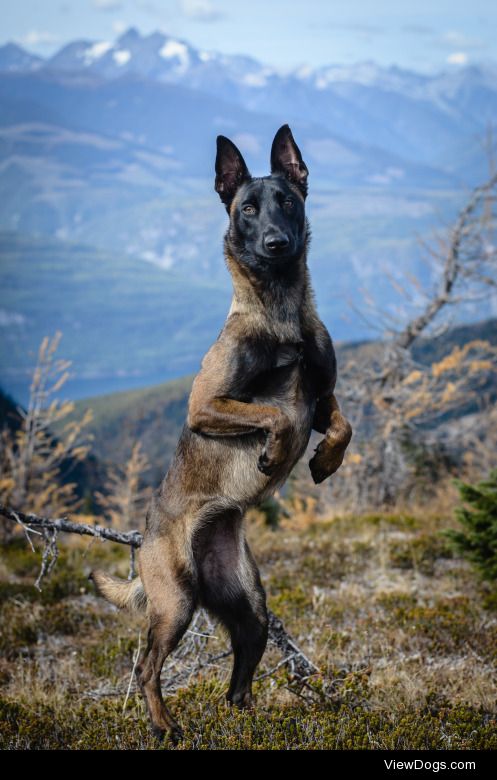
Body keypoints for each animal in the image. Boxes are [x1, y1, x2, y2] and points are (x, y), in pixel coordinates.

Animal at [90, 125, 352, 740]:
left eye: (287, 200)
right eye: (247, 209)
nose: (276, 243)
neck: (280, 312)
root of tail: (146, 539)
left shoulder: (323, 395)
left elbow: (342, 424)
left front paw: (324, 461)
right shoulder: (204, 405)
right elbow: (275, 415)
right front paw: (277, 452)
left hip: (249, 606)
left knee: (239, 681)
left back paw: (251, 723)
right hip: (176, 604)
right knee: (145, 666)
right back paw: (165, 727)